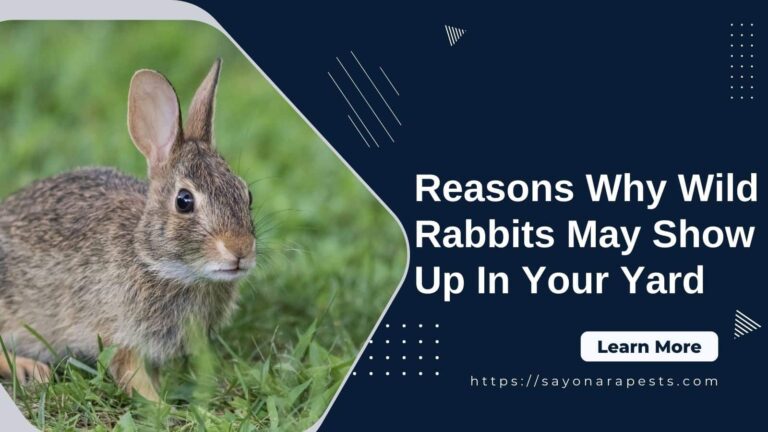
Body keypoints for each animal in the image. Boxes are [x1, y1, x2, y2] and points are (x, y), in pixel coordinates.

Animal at [0, 59, 256, 401]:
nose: (240, 250)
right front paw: (161, 405)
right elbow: (131, 375)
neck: (153, 260)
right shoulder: (119, 334)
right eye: (184, 201)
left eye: (246, 194)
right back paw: (29, 368)